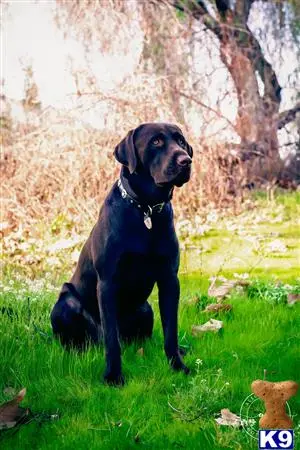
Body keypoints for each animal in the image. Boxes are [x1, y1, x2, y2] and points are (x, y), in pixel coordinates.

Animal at [50, 123, 192, 384]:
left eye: (180, 141)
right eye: (156, 141)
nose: (185, 161)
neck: (146, 208)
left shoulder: (169, 279)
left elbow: (171, 331)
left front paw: (177, 365)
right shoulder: (107, 282)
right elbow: (111, 340)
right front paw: (114, 376)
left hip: (145, 309)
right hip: (67, 303)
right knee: (84, 340)